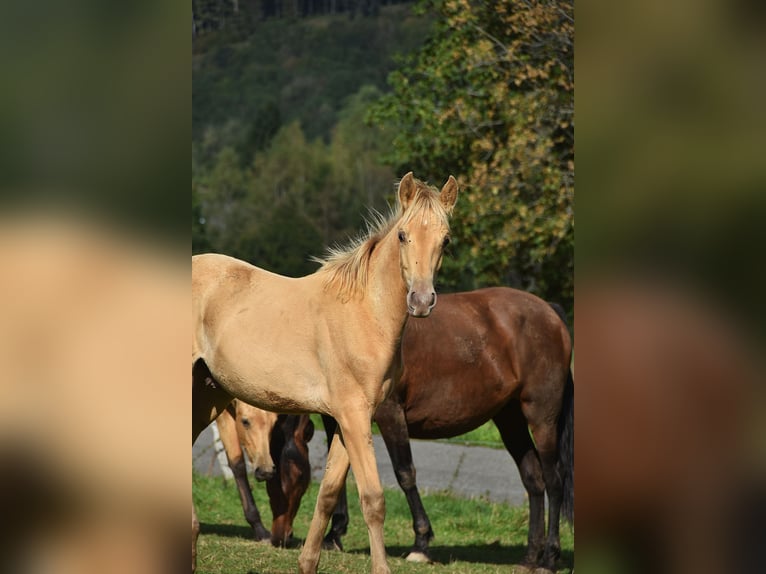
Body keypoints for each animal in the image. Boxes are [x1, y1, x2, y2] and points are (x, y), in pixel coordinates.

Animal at [192, 172, 459, 574]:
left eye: (446, 239)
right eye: (402, 235)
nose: (422, 301)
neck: (365, 314)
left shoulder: (352, 419)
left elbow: (329, 494)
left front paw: (308, 561)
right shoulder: (354, 416)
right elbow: (373, 499)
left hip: (205, 395)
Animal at [255, 287, 574, 571]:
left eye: (291, 475)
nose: (279, 537)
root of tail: (549, 311)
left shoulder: (389, 414)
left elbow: (405, 474)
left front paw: (421, 543)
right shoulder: (340, 418)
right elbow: (341, 477)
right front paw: (334, 535)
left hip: (541, 419)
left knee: (554, 480)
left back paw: (548, 559)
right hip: (510, 419)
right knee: (533, 480)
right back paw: (530, 557)